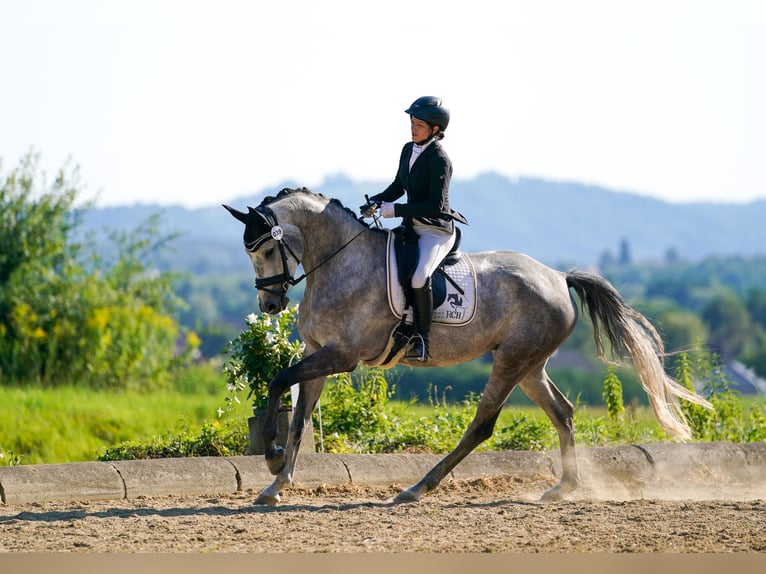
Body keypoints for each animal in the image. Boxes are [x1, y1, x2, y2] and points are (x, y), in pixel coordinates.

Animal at [222, 187, 712, 506]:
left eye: (265, 250)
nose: (270, 304)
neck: (339, 262)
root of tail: (559, 277)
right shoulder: (318, 354)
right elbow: (300, 418)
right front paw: (275, 484)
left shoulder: (341, 357)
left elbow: (277, 380)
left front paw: (270, 455)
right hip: (530, 365)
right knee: (563, 412)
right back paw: (560, 489)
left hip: (512, 361)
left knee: (482, 425)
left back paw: (417, 488)